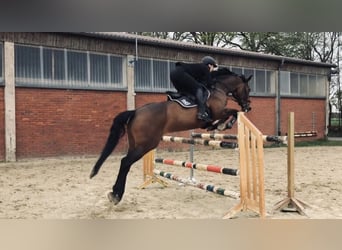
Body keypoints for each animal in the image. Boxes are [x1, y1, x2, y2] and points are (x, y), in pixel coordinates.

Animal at [89, 67, 252, 204]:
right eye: (248, 89)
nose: (248, 107)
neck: (219, 89)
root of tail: (135, 112)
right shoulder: (218, 112)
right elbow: (233, 112)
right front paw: (224, 125)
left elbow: (225, 117)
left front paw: (217, 126)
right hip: (146, 144)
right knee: (125, 162)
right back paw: (116, 195)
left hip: (136, 144)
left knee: (126, 164)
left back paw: (114, 193)